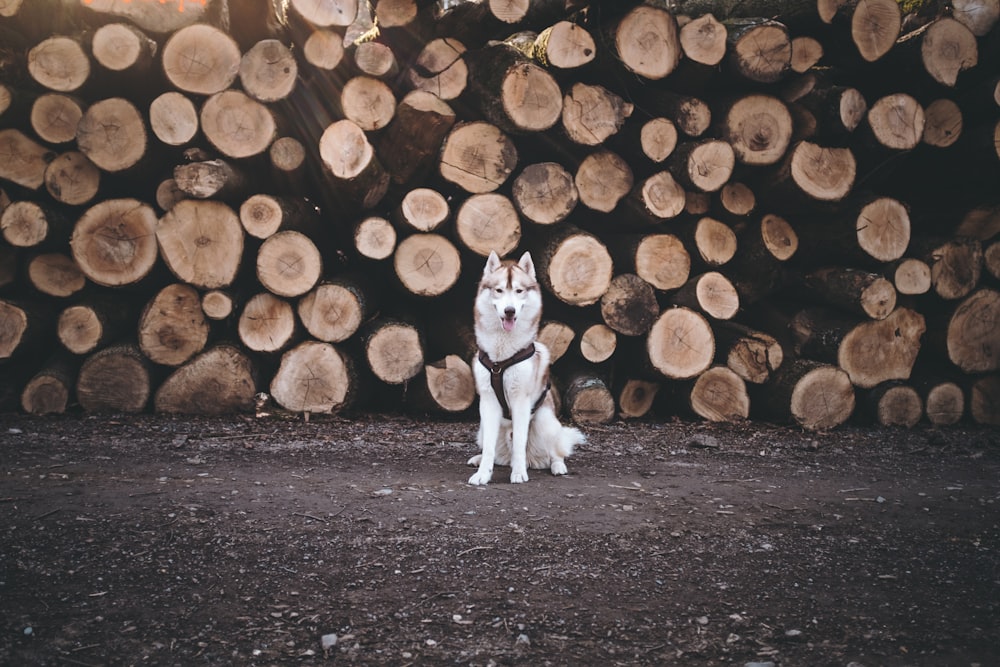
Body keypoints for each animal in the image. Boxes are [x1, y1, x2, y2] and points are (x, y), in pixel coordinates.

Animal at [466, 250, 584, 486]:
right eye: (499, 290)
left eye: (519, 291)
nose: (509, 311)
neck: (500, 359)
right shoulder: (488, 402)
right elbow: (489, 449)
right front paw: (483, 473)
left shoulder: (521, 400)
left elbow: (520, 442)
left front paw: (519, 473)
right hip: (482, 429)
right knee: (496, 452)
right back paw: (479, 458)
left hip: (545, 421)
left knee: (554, 452)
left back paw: (557, 466)